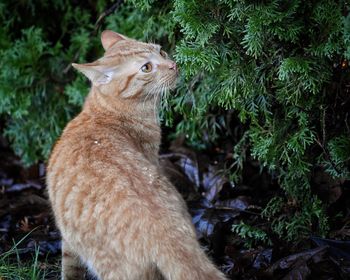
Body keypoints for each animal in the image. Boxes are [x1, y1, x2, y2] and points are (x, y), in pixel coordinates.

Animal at [46, 30, 227, 280]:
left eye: (161, 51)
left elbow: (69, 267)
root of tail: (164, 230)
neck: (104, 113)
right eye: (146, 67)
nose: (173, 65)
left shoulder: (68, 239)